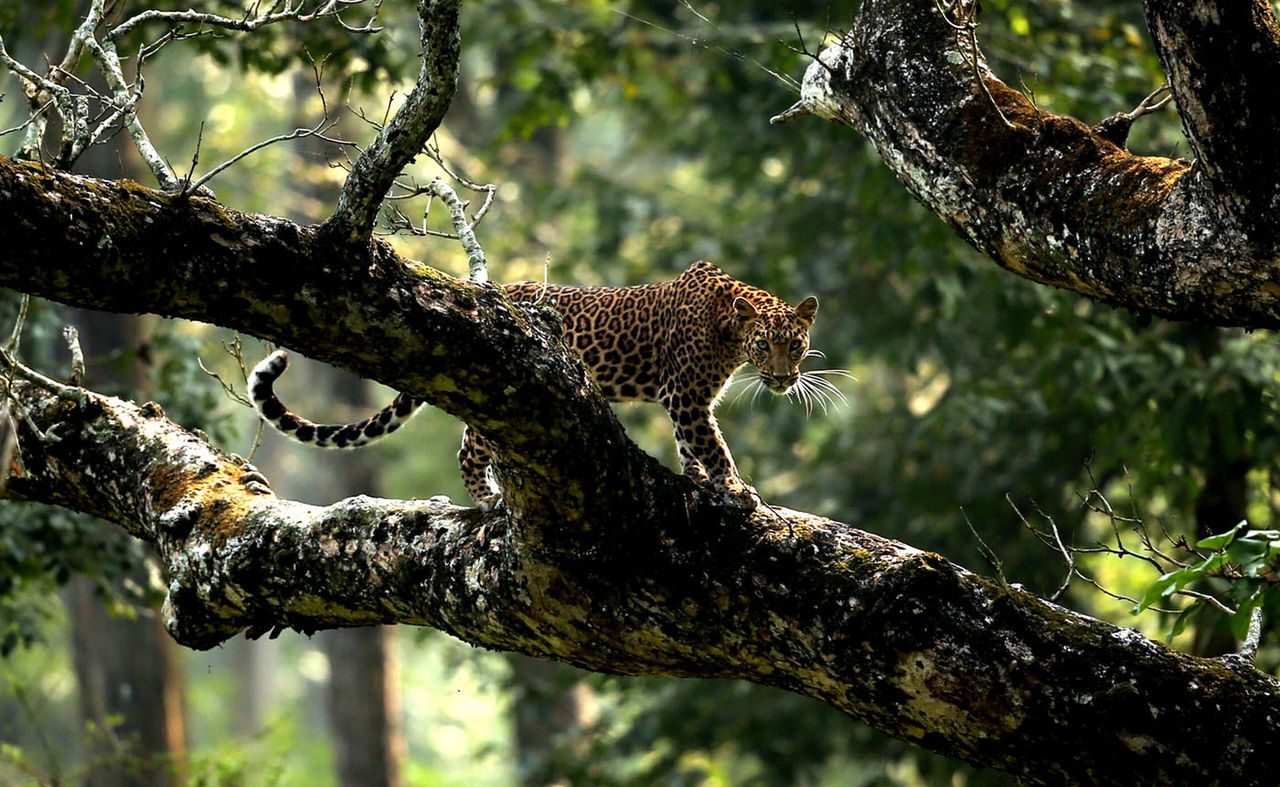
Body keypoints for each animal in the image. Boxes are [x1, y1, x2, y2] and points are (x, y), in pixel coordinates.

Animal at [252, 262, 819, 514]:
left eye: (795, 345)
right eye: (765, 345)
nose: (784, 377)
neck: (729, 327)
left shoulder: (685, 400)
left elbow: (690, 444)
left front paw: (700, 479)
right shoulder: (686, 395)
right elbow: (712, 443)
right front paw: (735, 486)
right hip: (492, 391)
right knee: (469, 448)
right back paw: (488, 498)